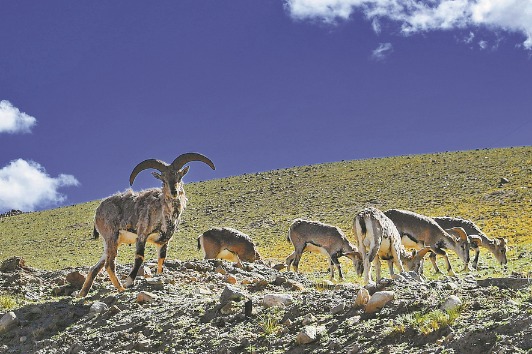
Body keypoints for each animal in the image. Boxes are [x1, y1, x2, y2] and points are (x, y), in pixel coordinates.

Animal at [78, 152, 214, 296]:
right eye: (163, 179)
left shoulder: (163, 241)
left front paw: (159, 276)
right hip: (112, 237)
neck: (163, 214)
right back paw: (121, 288)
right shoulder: (142, 235)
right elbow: (139, 257)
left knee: (95, 267)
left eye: (179, 176)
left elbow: (161, 259)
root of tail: (97, 212)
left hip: (112, 242)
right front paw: (129, 282)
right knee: (109, 264)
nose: (174, 192)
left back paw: (83, 293)